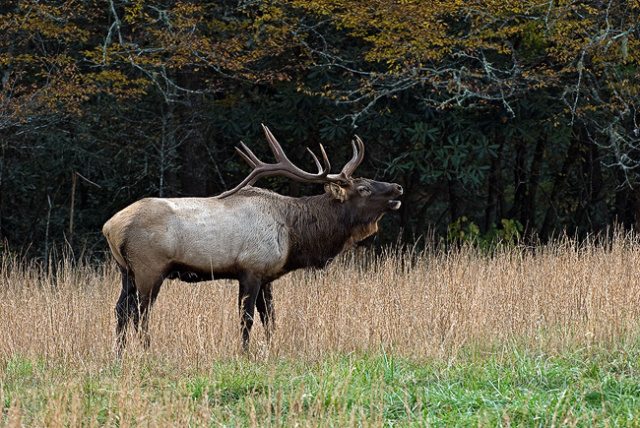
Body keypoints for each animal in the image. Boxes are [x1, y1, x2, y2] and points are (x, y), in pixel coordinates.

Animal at [102, 124, 402, 352]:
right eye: (363, 188)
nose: (397, 187)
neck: (295, 236)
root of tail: (110, 226)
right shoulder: (250, 268)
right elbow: (246, 319)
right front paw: (245, 354)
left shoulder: (267, 275)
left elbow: (270, 319)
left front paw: (271, 349)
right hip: (149, 268)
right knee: (140, 314)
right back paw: (147, 351)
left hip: (126, 270)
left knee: (120, 310)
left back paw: (119, 355)